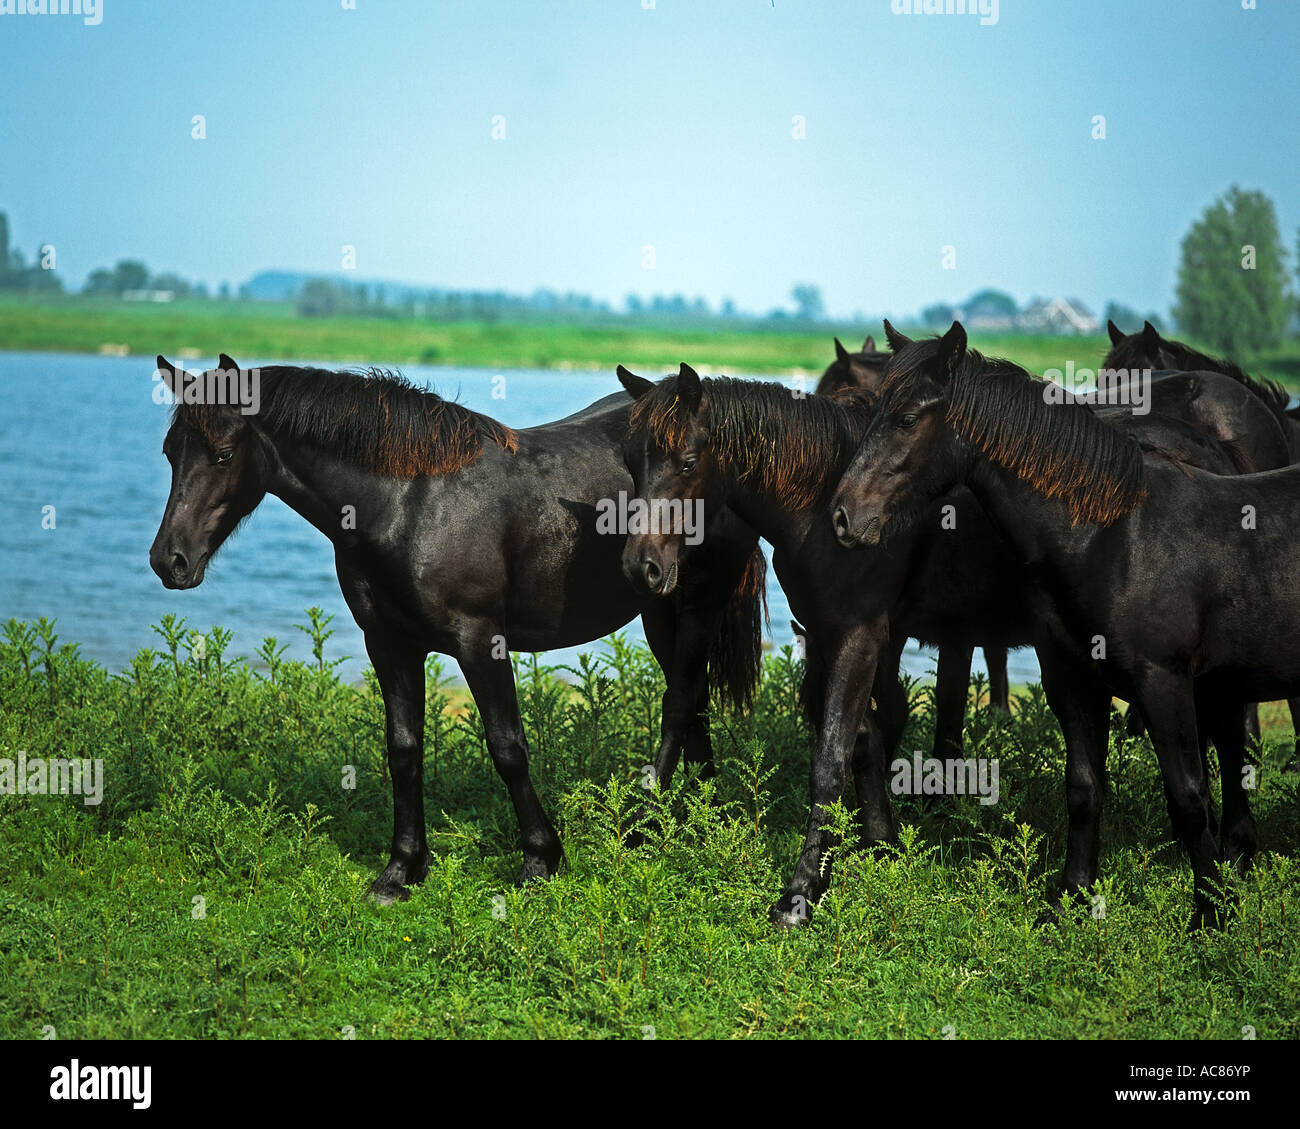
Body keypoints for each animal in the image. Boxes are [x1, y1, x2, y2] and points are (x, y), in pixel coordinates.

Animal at [147, 356, 764, 905]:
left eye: (224, 453)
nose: (168, 561)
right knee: (694, 702)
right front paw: (401, 870)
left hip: (697, 604)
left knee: (681, 702)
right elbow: (403, 749)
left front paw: (541, 859)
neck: (408, 505)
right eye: (170, 452)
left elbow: (507, 747)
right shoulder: (389, 644)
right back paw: (701, 815)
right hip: (659, 610)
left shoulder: (479, 641)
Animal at [832, 323, 1300, 926]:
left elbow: (1188, 796)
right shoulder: (1073, 678)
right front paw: (1071, 898)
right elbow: (1083, 787)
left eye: (909, 418)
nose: (844, 515)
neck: (1109, 537)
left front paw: (1210, 915)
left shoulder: (1163, 682)